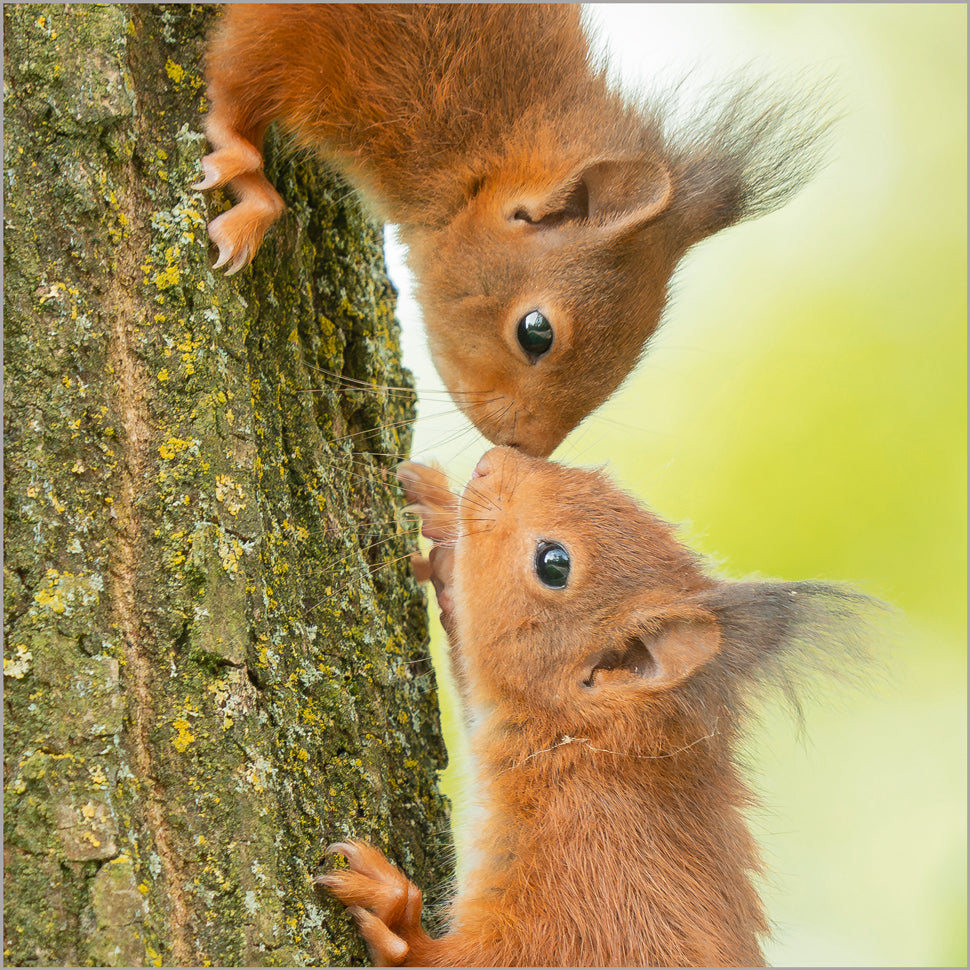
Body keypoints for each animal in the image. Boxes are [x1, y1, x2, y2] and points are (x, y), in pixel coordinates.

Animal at [195, 4, 832, 457]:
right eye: (536, 333)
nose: (529, 450)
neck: (489, 130)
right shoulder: (305, 34)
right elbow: (236, 89)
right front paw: (249, 188)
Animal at [317, 447, 874, 967]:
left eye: (554, 564)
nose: (490, 461)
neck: (589, 753)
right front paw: (440, 520)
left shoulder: (598, 882)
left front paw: (397, 922)